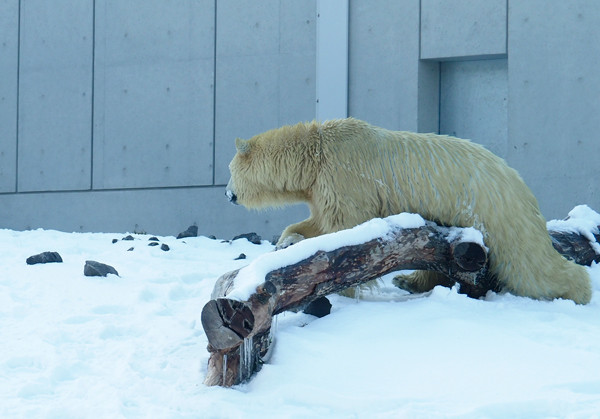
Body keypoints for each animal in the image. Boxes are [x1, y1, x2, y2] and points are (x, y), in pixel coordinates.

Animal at [225, 118, 592, 306]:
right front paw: (288, 241)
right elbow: (321, 222)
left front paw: (342, 287)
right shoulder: (323, 185)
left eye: (229, 170)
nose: (228, 194)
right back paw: (408, 281)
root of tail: (518, 181)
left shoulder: (344, 175)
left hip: (495, 210)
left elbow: (346, 226)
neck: (316, 151)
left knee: (529, 264)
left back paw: (579, 290)